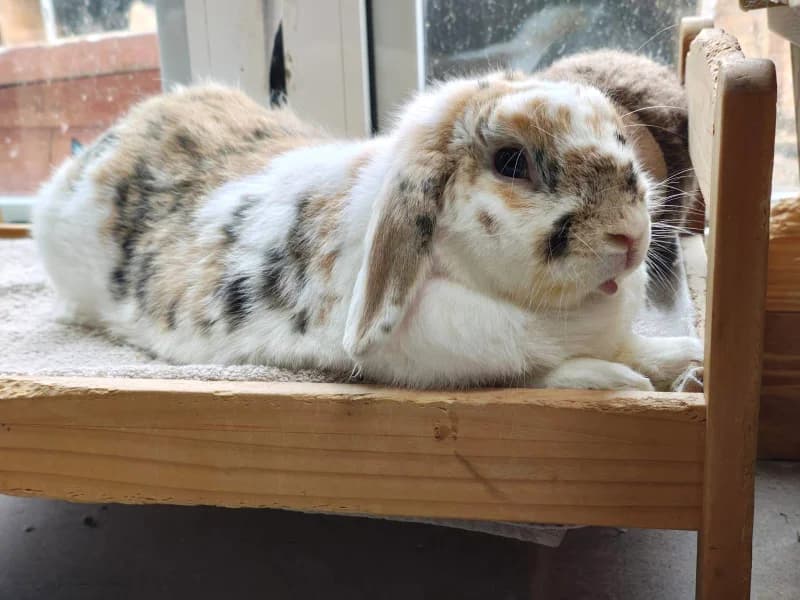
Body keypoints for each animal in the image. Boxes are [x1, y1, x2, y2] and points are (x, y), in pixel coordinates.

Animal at [33, 75, 702, 390]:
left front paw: (684, 361)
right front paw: (619, 384)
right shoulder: (438, 359)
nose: (631, 236)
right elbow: (533, 374)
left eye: (620, 139)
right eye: (512, 162)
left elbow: (638, 346)